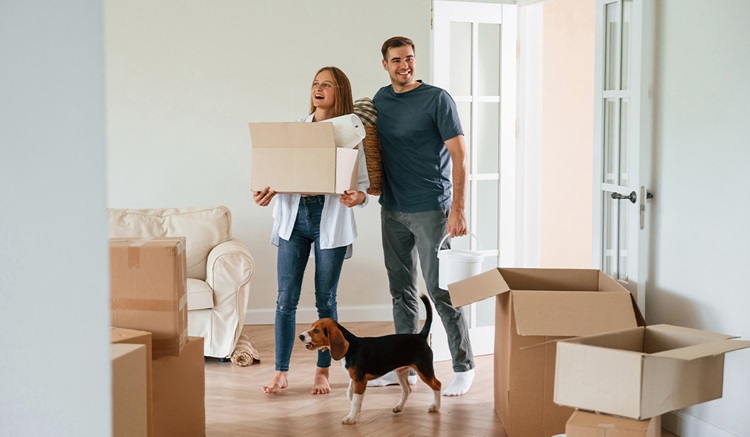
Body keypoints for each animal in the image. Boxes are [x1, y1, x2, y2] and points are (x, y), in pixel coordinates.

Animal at [298, 292, 440, 422]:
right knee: (407, 390)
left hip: (424, 370)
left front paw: (351, 417)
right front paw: (356, 409)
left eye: (316, 330)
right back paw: (399, 407)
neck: (352, 347)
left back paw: (435, 407)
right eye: (311, 327)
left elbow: (355, 399)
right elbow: (350, 393)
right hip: (400, 372)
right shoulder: (355, 378)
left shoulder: (360, 380)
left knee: (437, 385)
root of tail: (420, 336)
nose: (300, 336)